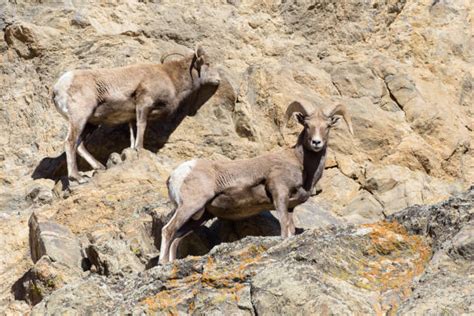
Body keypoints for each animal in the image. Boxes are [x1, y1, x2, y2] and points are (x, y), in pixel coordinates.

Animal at [52, 45, 221, 183]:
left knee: (79, 145)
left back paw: (99, 167)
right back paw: (77, 177)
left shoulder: (132, 117)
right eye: (207, 63)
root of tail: (57, 88)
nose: (218, 80)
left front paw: (133, 151)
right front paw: (140, 149)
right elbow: (142, 127)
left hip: (90, 123)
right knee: (70, 142)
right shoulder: (144, 105)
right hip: (80, 117)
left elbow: (132, 136)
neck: (170, 78)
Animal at [159, 101, 352, 264]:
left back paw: (170, 263)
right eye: (307, 125)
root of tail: (177, 174)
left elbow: (290, 229)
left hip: (199, 216)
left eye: (327, 126)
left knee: (177, 236)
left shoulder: (290, 206)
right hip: (190, 205)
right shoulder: (280, 195)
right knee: (168, 230)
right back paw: (162, 262)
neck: (301, 164)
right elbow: (284, 228)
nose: (316, 142)